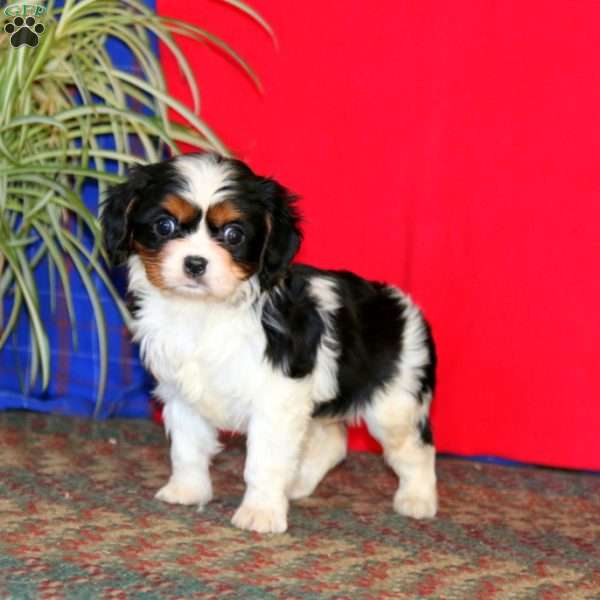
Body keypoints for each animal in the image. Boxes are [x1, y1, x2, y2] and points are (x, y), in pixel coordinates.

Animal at [103, 154, 438, 536]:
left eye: (234, 234)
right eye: (164, 225)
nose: (195, 263)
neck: (205, 311)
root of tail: (401, 304)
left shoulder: (277, 399)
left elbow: (264, 461)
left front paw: (260, 512)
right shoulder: (183, 394)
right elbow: (188, 447)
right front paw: (187, 491)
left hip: (395, 402)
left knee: (414, 447)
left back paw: (418, 500)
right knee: (333, 442)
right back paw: (299, 484)